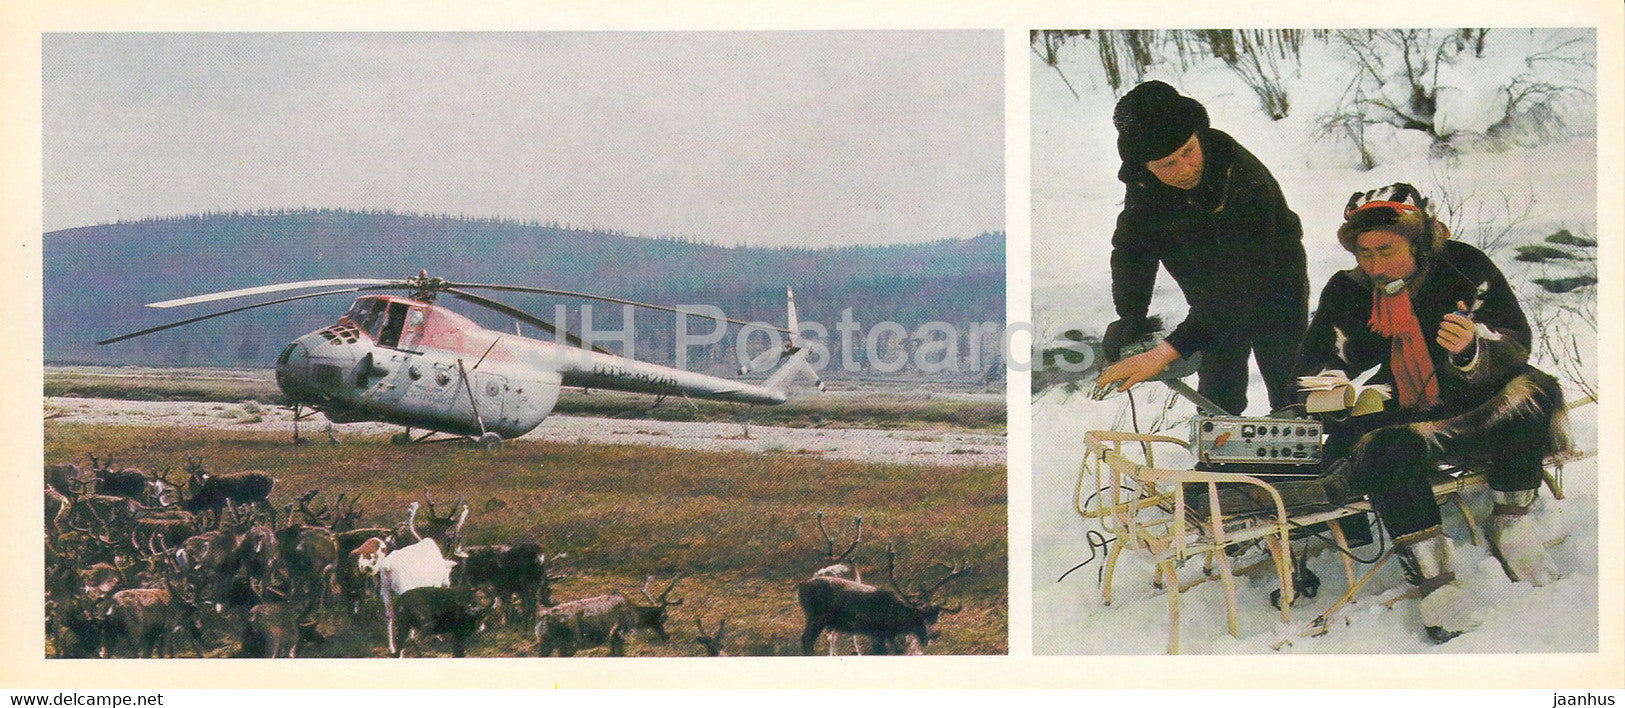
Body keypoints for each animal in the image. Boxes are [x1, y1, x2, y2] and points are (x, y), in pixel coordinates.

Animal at [797, 543, 971, 655]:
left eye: (935, 619)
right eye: (918, 618)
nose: (932, 636)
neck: (896, 620)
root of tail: (801, 586)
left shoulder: (887, 636)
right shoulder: (879, 633)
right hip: (816, 617)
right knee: (806, 640)